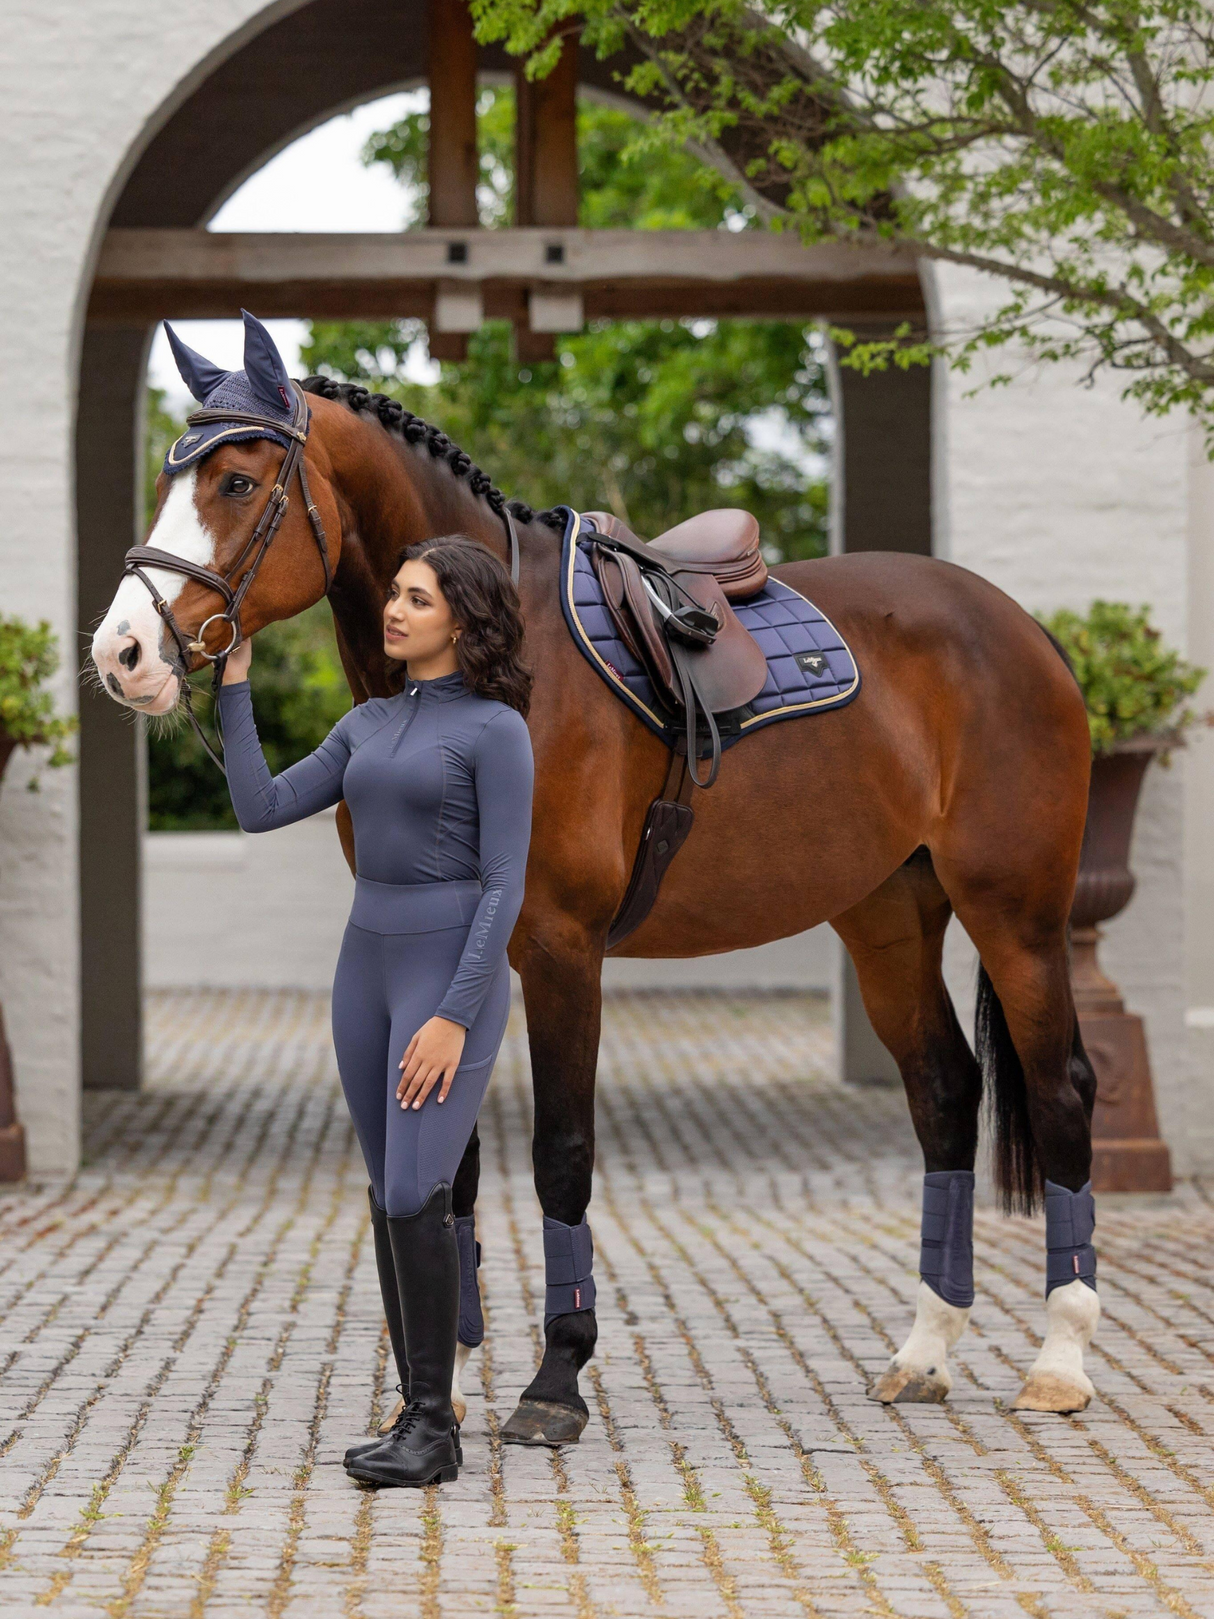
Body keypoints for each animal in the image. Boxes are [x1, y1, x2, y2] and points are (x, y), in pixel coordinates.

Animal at [92, 372, 1100, 1437]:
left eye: (239, 482)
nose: (123, 652)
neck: (497, 666)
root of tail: (1023, 629)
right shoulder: (455, 951)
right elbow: (448, 1159)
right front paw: (445, 1369)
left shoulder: (562, 948)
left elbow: (560, 1152)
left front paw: (554, 1378)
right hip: (888, 916)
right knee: (944, 1092)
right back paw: (923, 1351)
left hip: (1017, 916)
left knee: (1063, 1089)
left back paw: (1060, 1360)